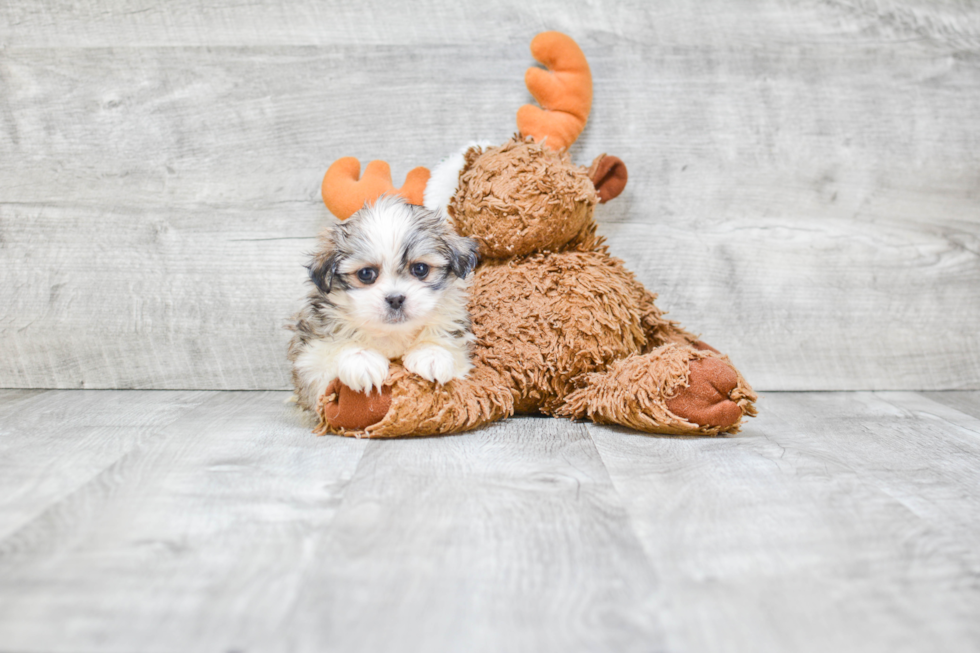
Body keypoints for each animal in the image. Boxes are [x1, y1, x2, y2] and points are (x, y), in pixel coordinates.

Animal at [286, 194, 480, 410]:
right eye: (365, 274)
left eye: (420, 269)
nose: (395, 298)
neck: (391, 333)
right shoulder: (309, 364)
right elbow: (326, 355)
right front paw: (361, 358)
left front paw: (431, 353)